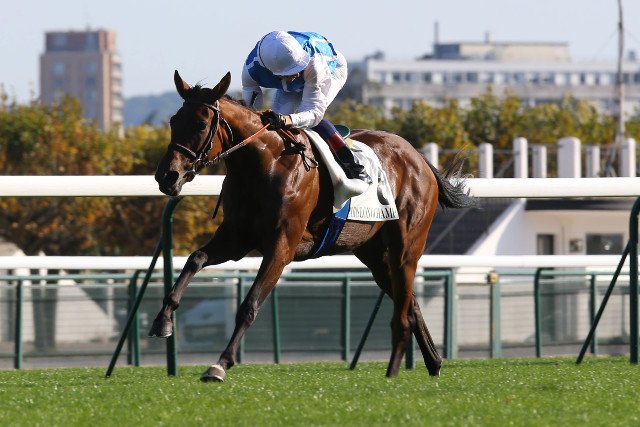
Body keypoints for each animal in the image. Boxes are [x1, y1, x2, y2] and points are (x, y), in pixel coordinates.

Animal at [149, 71, 475, 382]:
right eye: (174, 121)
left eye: (200, 124)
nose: (167, 176)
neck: (263, 164)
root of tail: (419, 158)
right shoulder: (236, 239)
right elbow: (195, 259)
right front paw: (162, 320)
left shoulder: (281, 246)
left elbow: (249, 306)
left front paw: (219, 365)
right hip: (374, 254)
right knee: (411, 305)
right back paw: (434, 363)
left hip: (405, 247)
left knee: (403, 312)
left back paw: (394, 371)